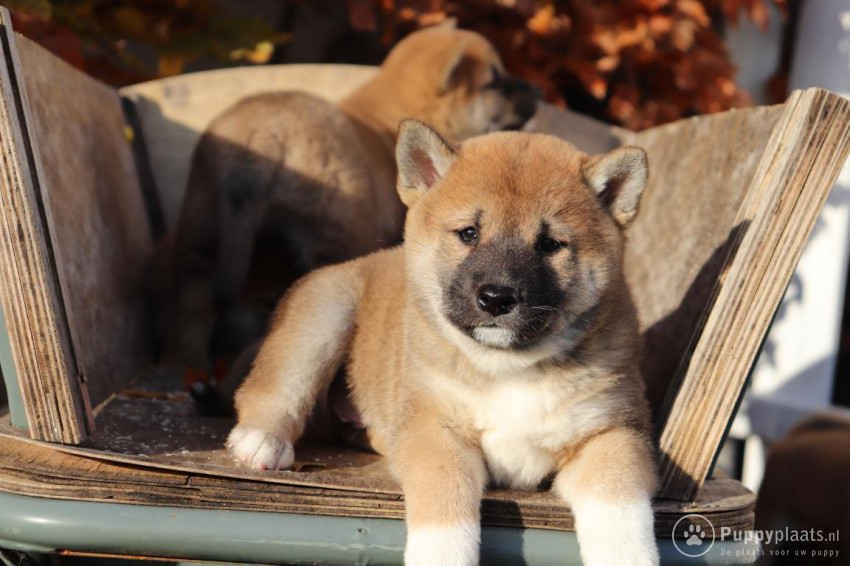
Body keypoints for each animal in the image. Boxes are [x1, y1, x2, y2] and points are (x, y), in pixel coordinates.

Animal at [155, 23, 532, 378]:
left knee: (192, 305)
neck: (384, 115)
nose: (537, 90)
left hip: (201, 231)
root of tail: (263, 137)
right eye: (495, 81)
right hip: (336, 235)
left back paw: (182, 366)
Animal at [225, 122, 656, 564]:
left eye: (549, 244)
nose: (497, 298)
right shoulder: (435, 430)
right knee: (272, 388)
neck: (510, 366)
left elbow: (621, 516)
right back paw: (261, 440)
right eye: (469, 233)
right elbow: (445, 505)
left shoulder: (612, 435)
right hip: (325, 314)